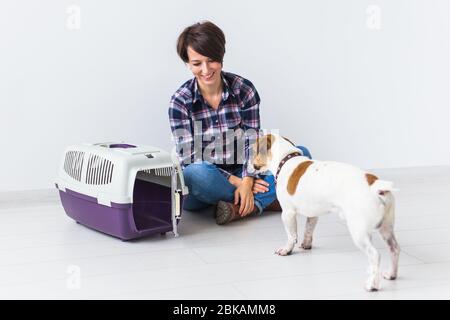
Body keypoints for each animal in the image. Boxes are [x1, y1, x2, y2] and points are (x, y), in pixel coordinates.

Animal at [250, 134, 400, 292]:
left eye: (252, 151)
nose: (247, 164)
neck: (286, 159)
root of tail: (375, 185)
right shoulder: (313, 214)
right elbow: (308, 230)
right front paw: (306, 244)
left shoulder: (288, 213)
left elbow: (291, 236)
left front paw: (286, 250)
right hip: (386, 228)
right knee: (394, 249)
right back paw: (391, 274)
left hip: (359, 232)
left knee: (375, 255)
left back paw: (372, 285)